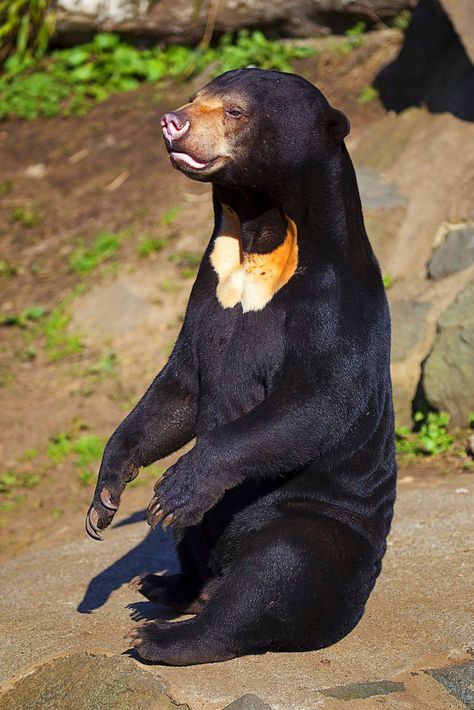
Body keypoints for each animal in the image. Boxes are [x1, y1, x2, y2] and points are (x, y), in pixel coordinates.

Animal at [85, 67, 396, 668]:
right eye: (195, 96)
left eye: (234, 111)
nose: (173, 121)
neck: (260, 238)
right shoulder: (206, 292)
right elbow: (177, 390)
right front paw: (105, 499)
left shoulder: (334, 304)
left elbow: (316, 400)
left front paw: (174, 488)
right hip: (210, 536)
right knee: (193, 550)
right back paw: (162, 587)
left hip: (317, 522)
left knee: (276, 573)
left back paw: (163, 637)